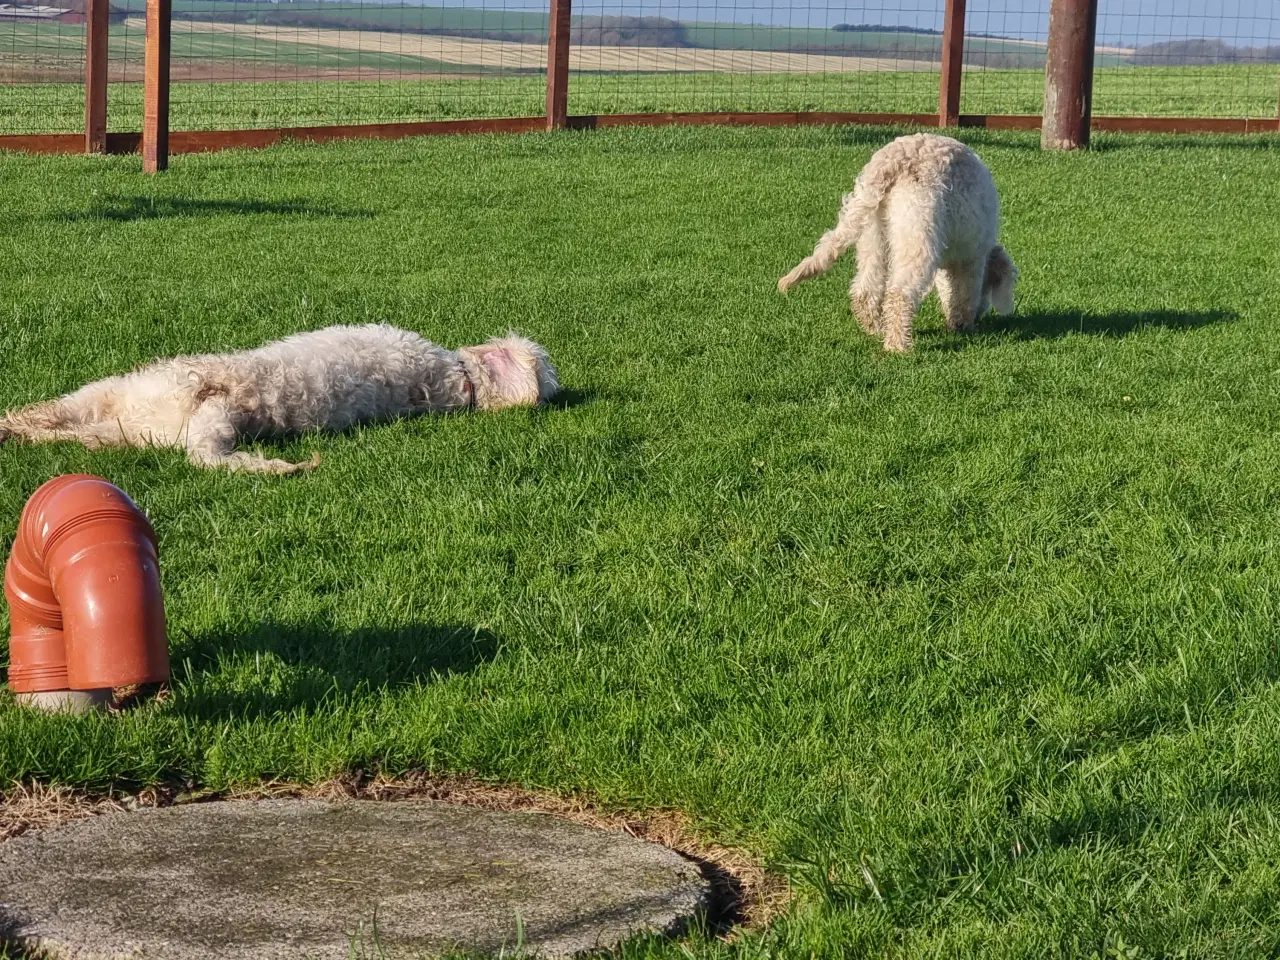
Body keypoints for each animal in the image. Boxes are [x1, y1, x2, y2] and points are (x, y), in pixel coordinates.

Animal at [0, 325, 560, 476]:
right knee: (47, 415)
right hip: (103, 394)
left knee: (206, 455)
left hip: (208, 419)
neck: (453, 378)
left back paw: (283, 466)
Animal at [778, 130, 1018, 350]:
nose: (981, 316)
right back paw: (898, 346)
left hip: (873, 235)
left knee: (865, 290)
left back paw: (876, 330)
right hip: (916, 233)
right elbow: (966, 293)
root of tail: (892, 161)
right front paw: (965, 325)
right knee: (899, 293)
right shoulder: (973, 257)